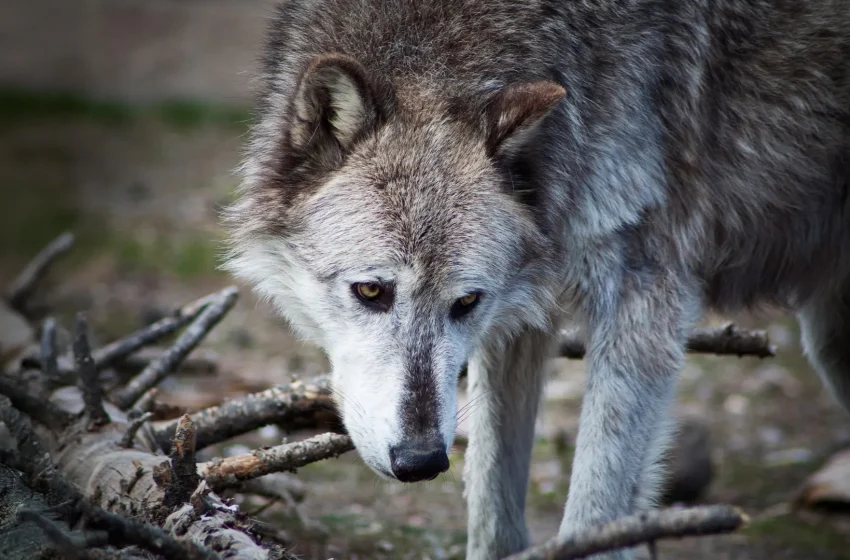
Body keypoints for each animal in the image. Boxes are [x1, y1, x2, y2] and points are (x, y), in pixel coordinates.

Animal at [222, 0, 850, 558]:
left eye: (467, 301)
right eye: (371, 291)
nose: (422, 461)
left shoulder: (644, 303)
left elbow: (592, 524)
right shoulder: (519, 324)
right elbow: (492, 513)